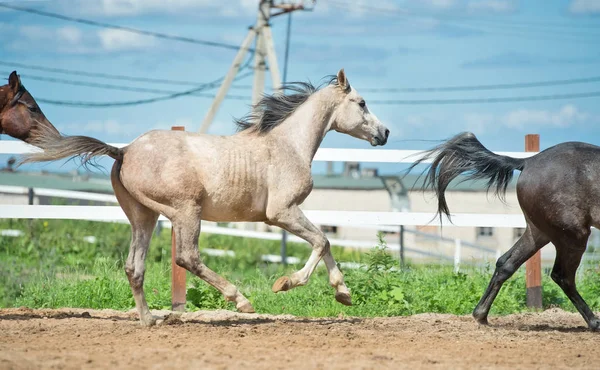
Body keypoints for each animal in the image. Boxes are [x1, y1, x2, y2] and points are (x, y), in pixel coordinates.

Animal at [410, 132, 600, 330]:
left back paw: (481, 315)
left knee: (505, 264)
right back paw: (594, 322)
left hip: (539, 233)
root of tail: (528, 161)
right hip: (573, 235)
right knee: (562, 275)